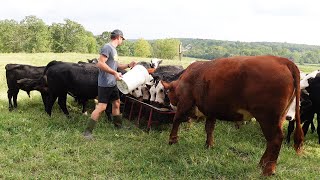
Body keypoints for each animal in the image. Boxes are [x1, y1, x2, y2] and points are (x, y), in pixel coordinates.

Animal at [161, 56, 304, 176]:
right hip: (279, 117)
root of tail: (281, 60)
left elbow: (176, 120)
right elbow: (209, 128)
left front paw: (172, 140)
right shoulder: (211, 110)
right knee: (271, 141)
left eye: (168, 94)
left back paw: (268, 170)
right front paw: (209, 145)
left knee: (275, 139)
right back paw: (261, 164)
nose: (170, 105)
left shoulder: (185, 101)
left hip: (268, 118)